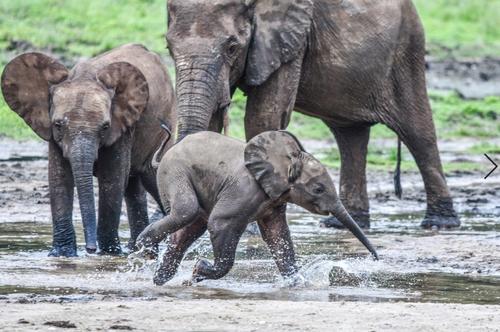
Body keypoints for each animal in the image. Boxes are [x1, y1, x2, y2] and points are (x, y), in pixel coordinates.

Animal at [0, 43, 176, 256]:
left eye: (105, 127)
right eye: (58, 124)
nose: (90, 249)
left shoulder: (122, 126)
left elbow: (111, 180)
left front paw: (108, 254)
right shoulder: (53, 134)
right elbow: (59, 178)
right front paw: (62, 255)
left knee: (153, 177)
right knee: (134, 187)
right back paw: (138, 250)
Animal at [137, 130, 376, 286]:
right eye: (318, 189)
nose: (375, 259)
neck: (286, 158)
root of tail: (168, 152)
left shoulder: (274, 198)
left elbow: (276, 233)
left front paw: (296, 282)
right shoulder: (245, 190)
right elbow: (221, 223)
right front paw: (198, 271)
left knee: (191, 225)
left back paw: (159, 278)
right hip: (174, 171)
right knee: (187, 210)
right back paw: (145, 249)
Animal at [166, 0, 458, 228]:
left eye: (232, 48)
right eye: (169, 49)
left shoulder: (287, 41)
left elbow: (262, 116)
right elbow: (213, 119)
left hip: (406, 47)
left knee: (417, 131)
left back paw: (439, 222)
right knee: (350, 136)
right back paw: (343, 223)